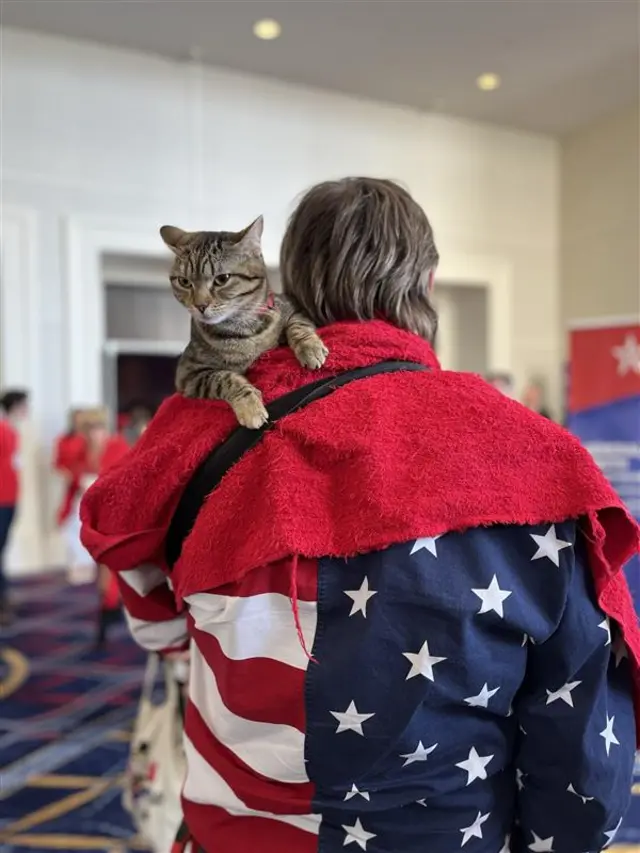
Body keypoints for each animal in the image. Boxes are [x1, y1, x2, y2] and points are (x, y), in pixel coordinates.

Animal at [160, 213, 330, 426]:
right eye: (184, 282)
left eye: (222, 279)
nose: (200, 305)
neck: (242, 327)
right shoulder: (187, 374)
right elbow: (224, 377)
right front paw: (250, 405)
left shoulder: (294, 307)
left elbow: (298, 326)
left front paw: (310, 348)